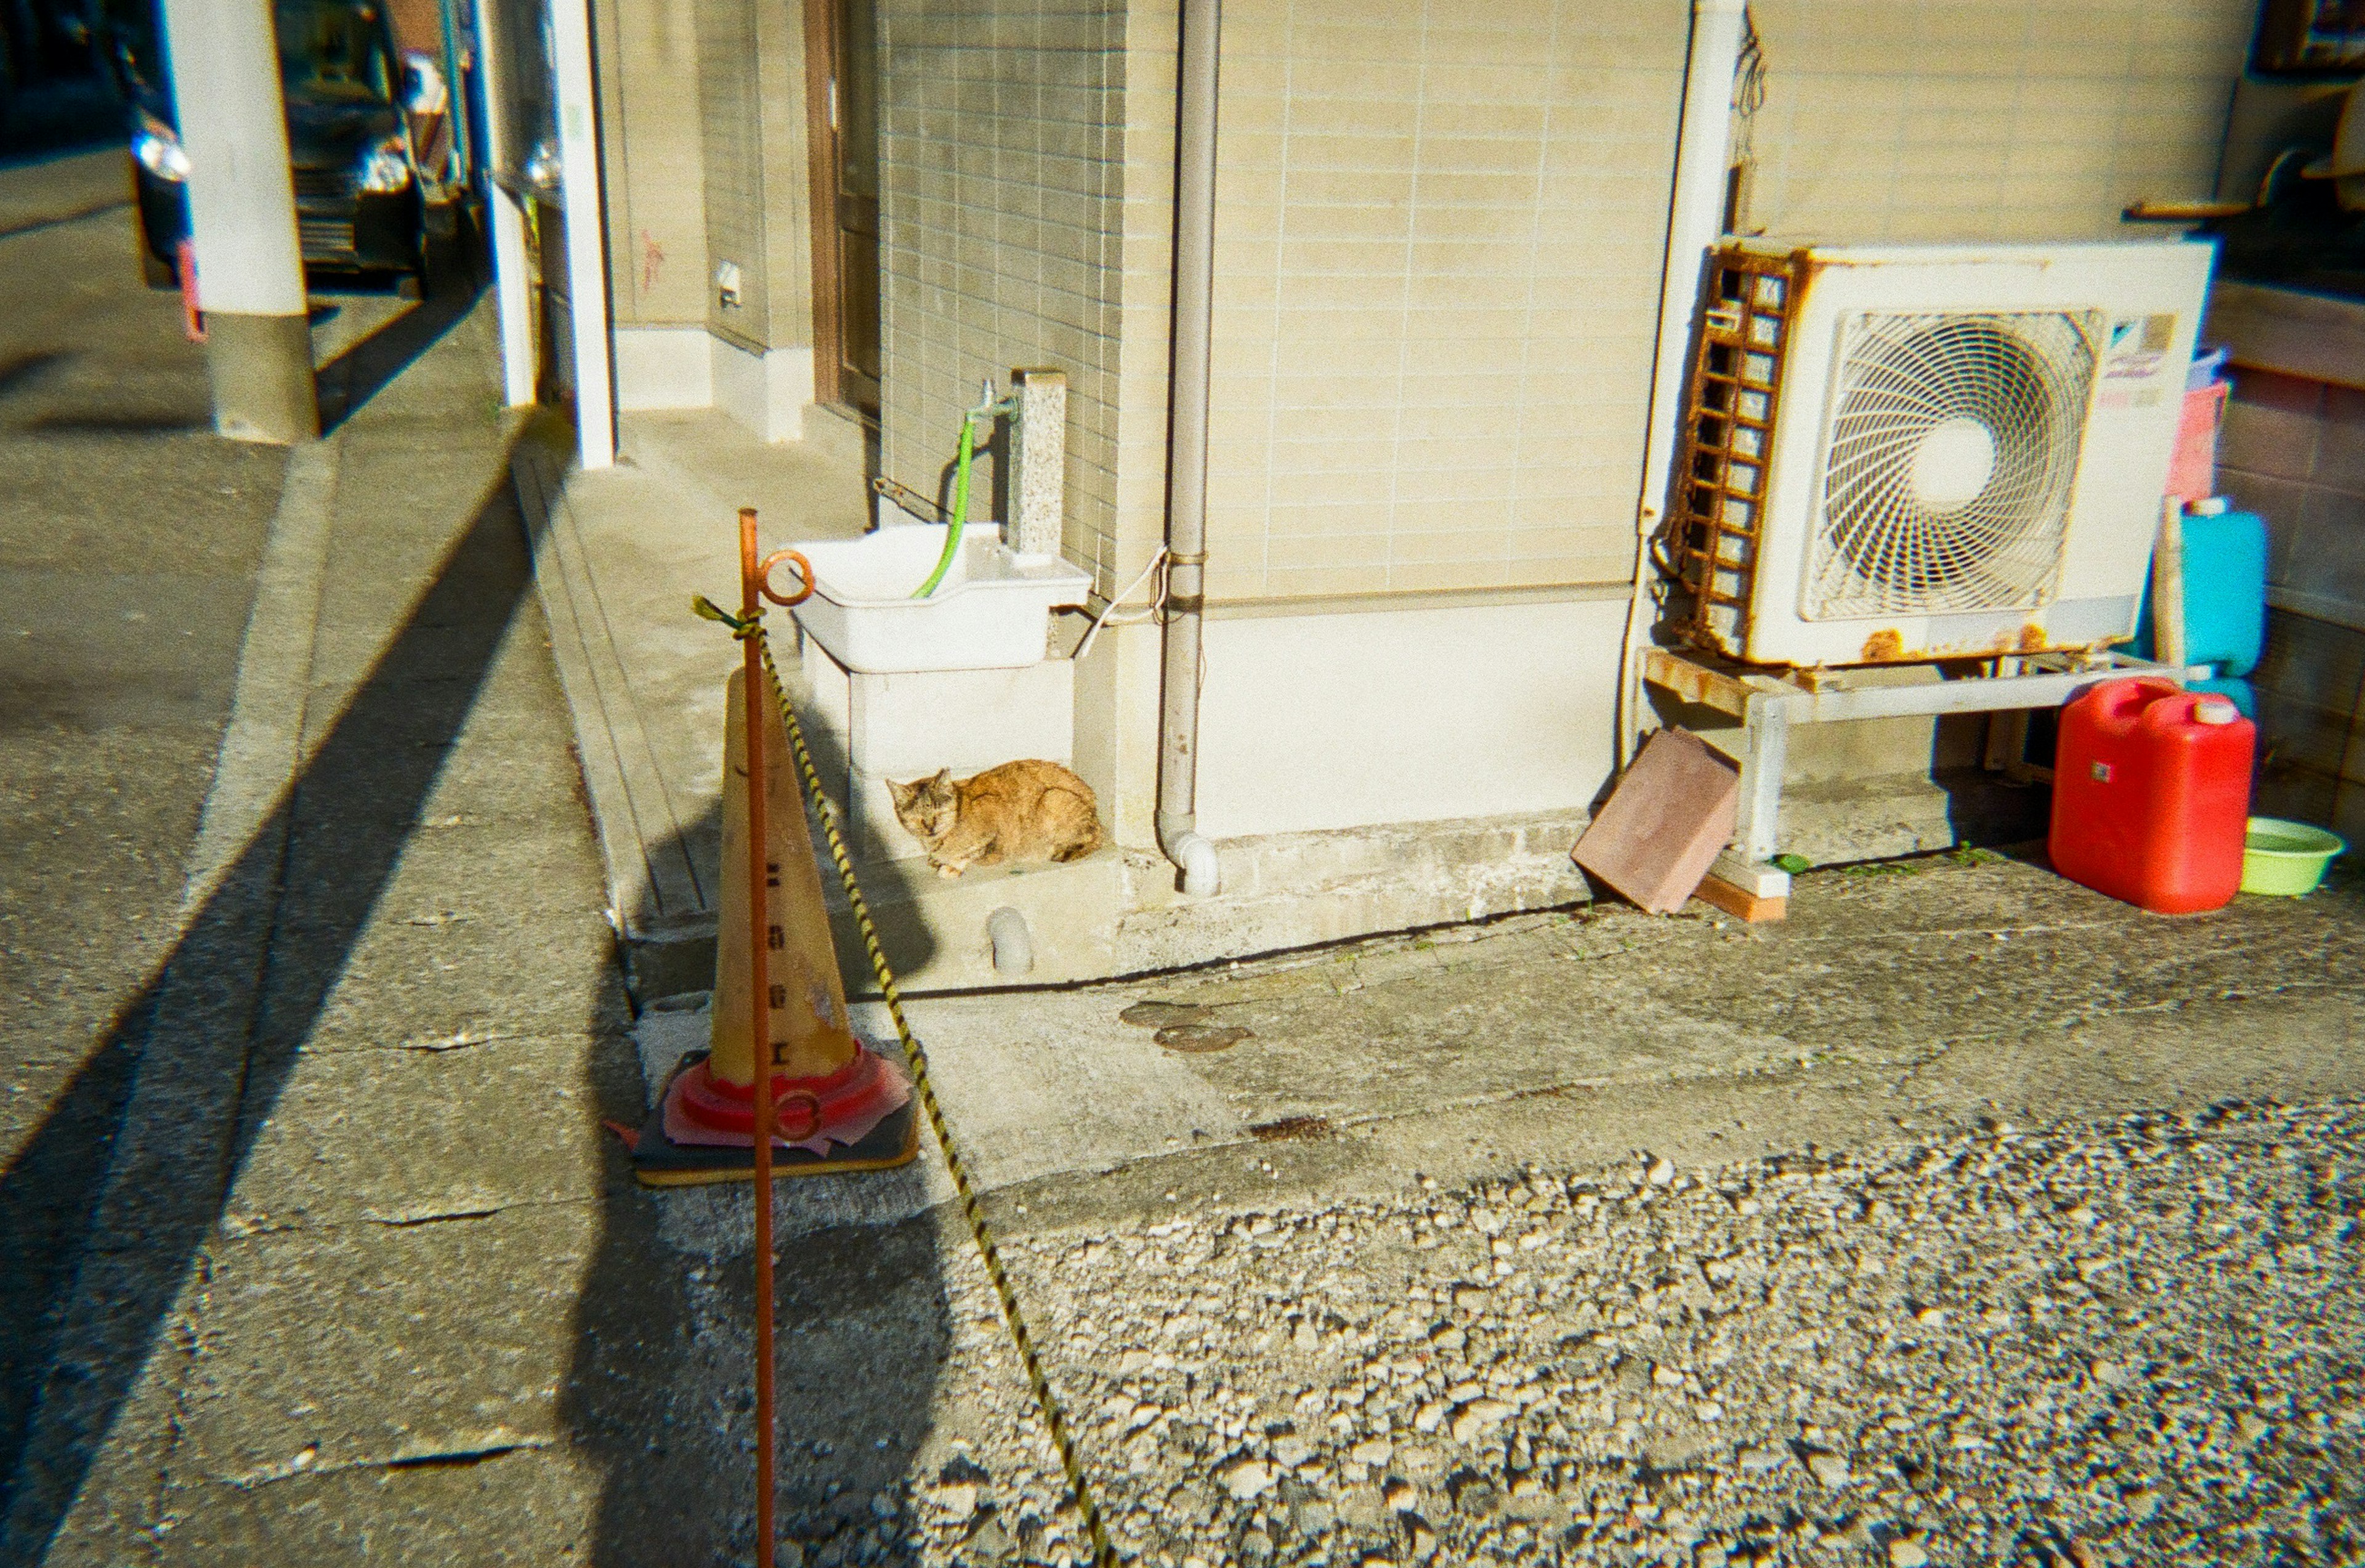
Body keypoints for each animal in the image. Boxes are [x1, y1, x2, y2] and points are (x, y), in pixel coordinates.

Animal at [889, 756, 1107, 875]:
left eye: (939, 813)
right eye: (916, 818)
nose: (930, 828)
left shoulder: (994, 808)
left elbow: (978, 851)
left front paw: (951, 866)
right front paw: (938, 860)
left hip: (1053, 797)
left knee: (1091, 840)